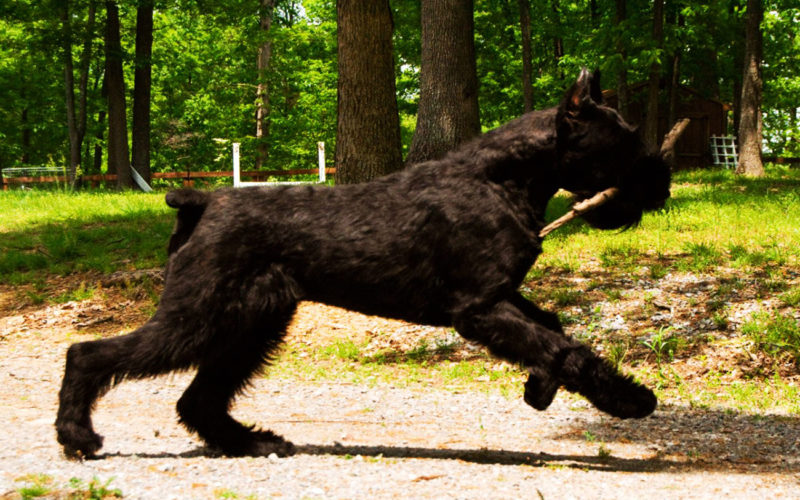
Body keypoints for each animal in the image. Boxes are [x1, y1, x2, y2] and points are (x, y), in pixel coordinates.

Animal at [54, 68, 668, 458]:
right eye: (624, 140)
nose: (661, 185)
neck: (501, 179)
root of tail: (203, 201)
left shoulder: (500, 297)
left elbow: (554, 332)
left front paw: (539, 389)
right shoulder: (480, 308)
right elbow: (565, 347)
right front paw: (629, 398)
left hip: (250, 324)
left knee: (199, 396)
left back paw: (252, 442)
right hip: (199, 317)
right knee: (90, 353)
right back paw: (77, 438)